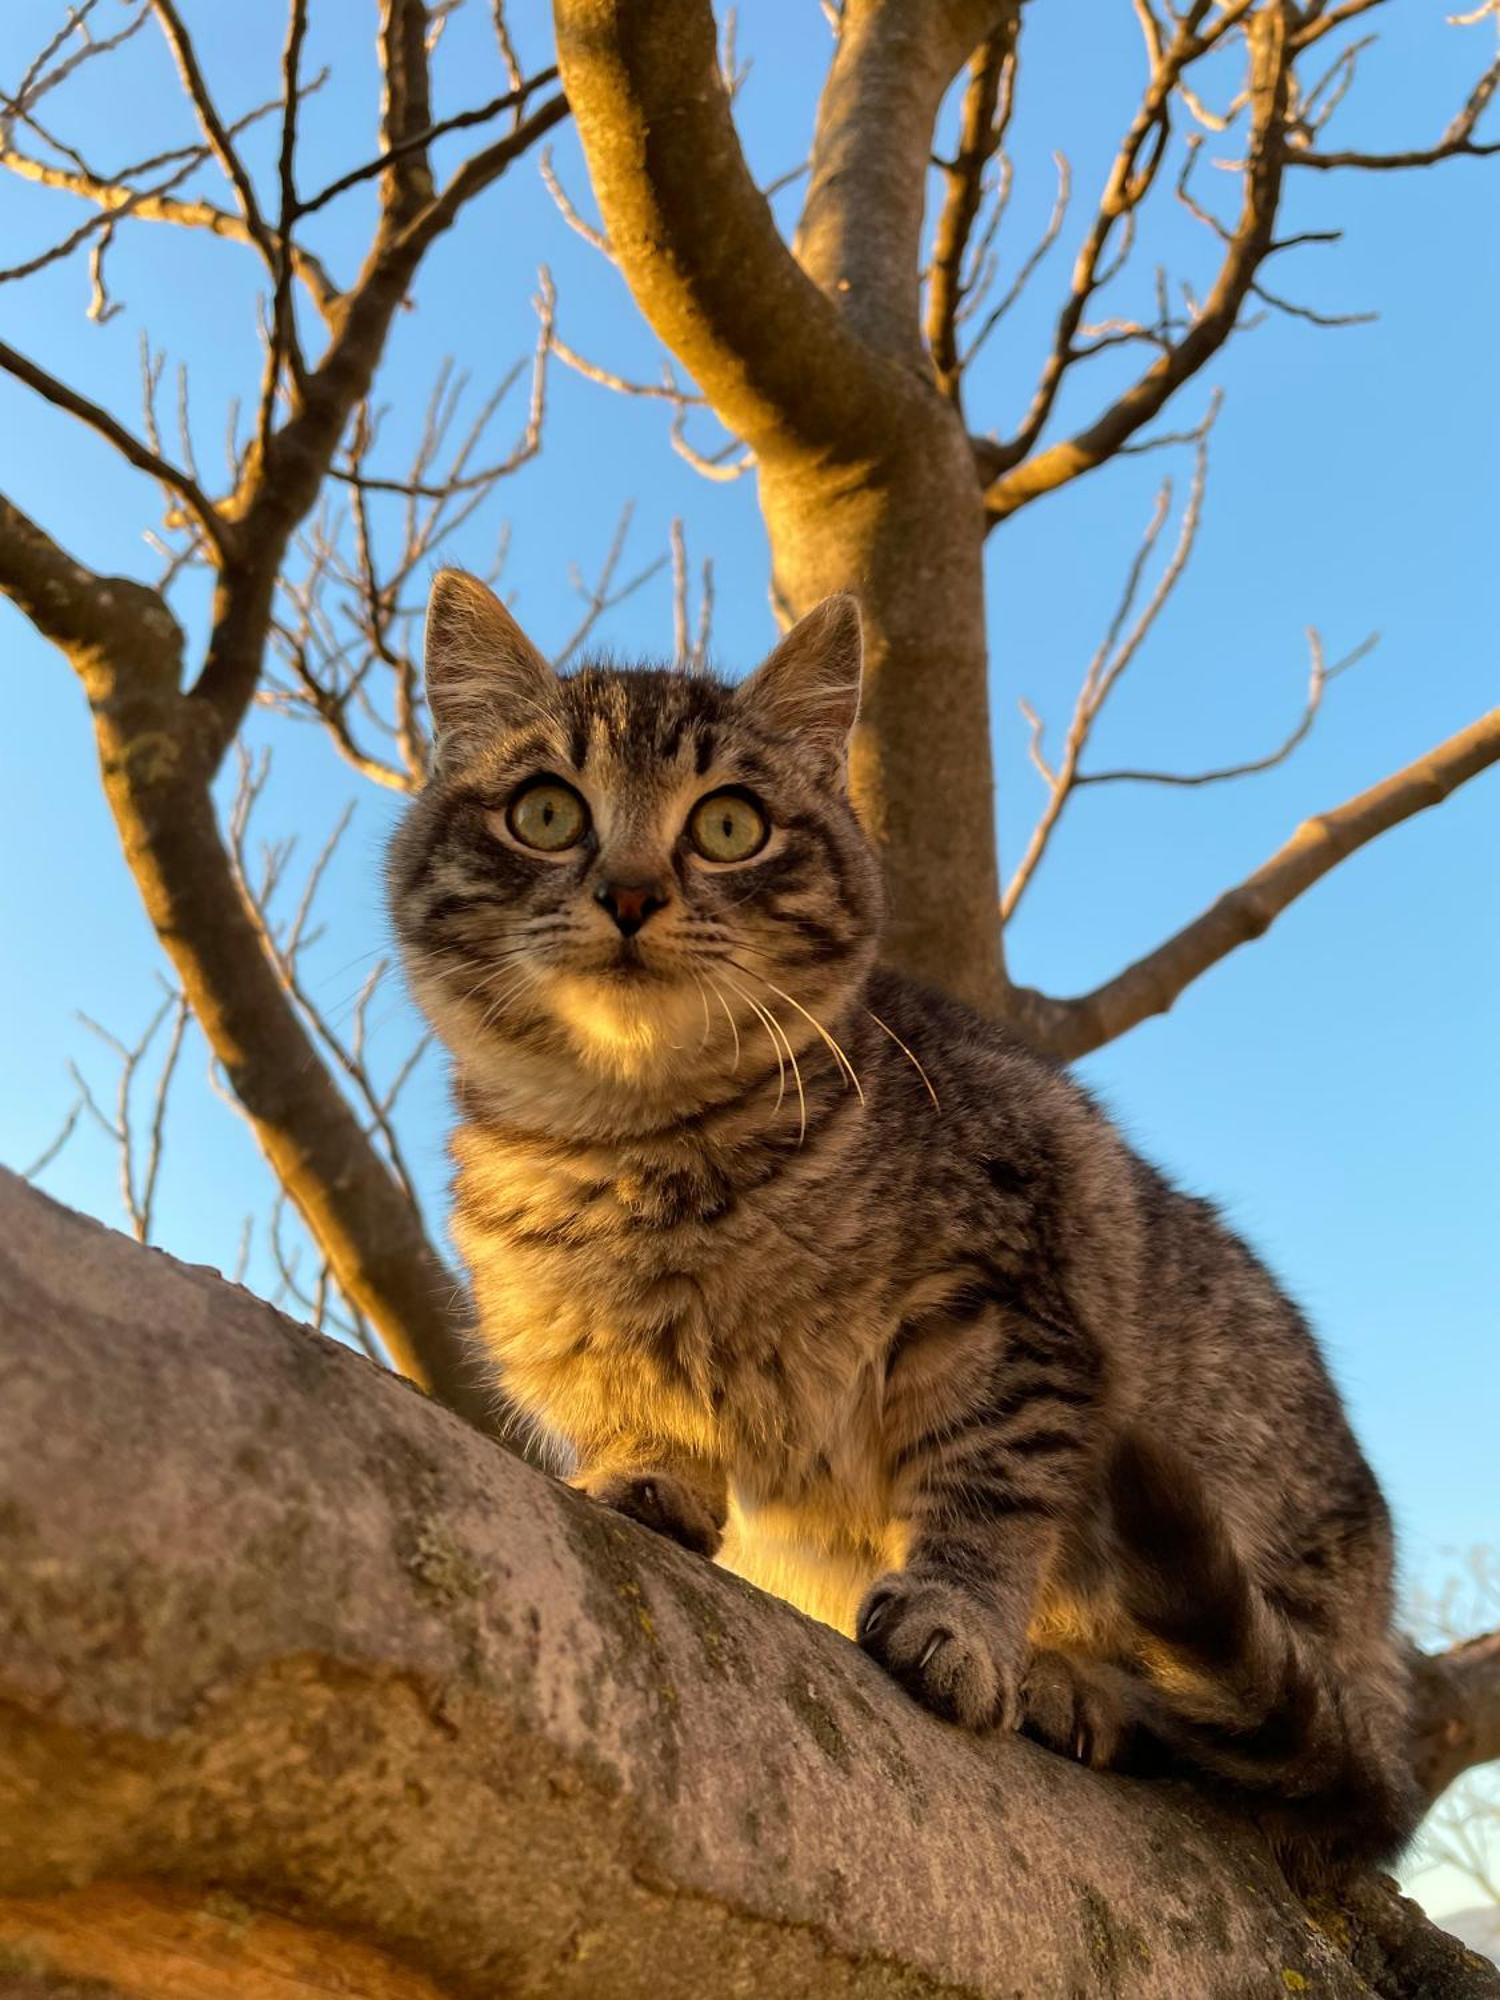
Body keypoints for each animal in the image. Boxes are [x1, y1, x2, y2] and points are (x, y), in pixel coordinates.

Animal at [388, 572, 1424, 1880]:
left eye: (728, 825)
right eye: (545, 811)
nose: (627, 891)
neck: (642, 1152)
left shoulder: (1010, 1299)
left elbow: (992, 1480)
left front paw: (962, 1618)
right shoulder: (564, 1345)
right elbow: (638, 1409)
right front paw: (649, 1471)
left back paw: (1081, 1680)